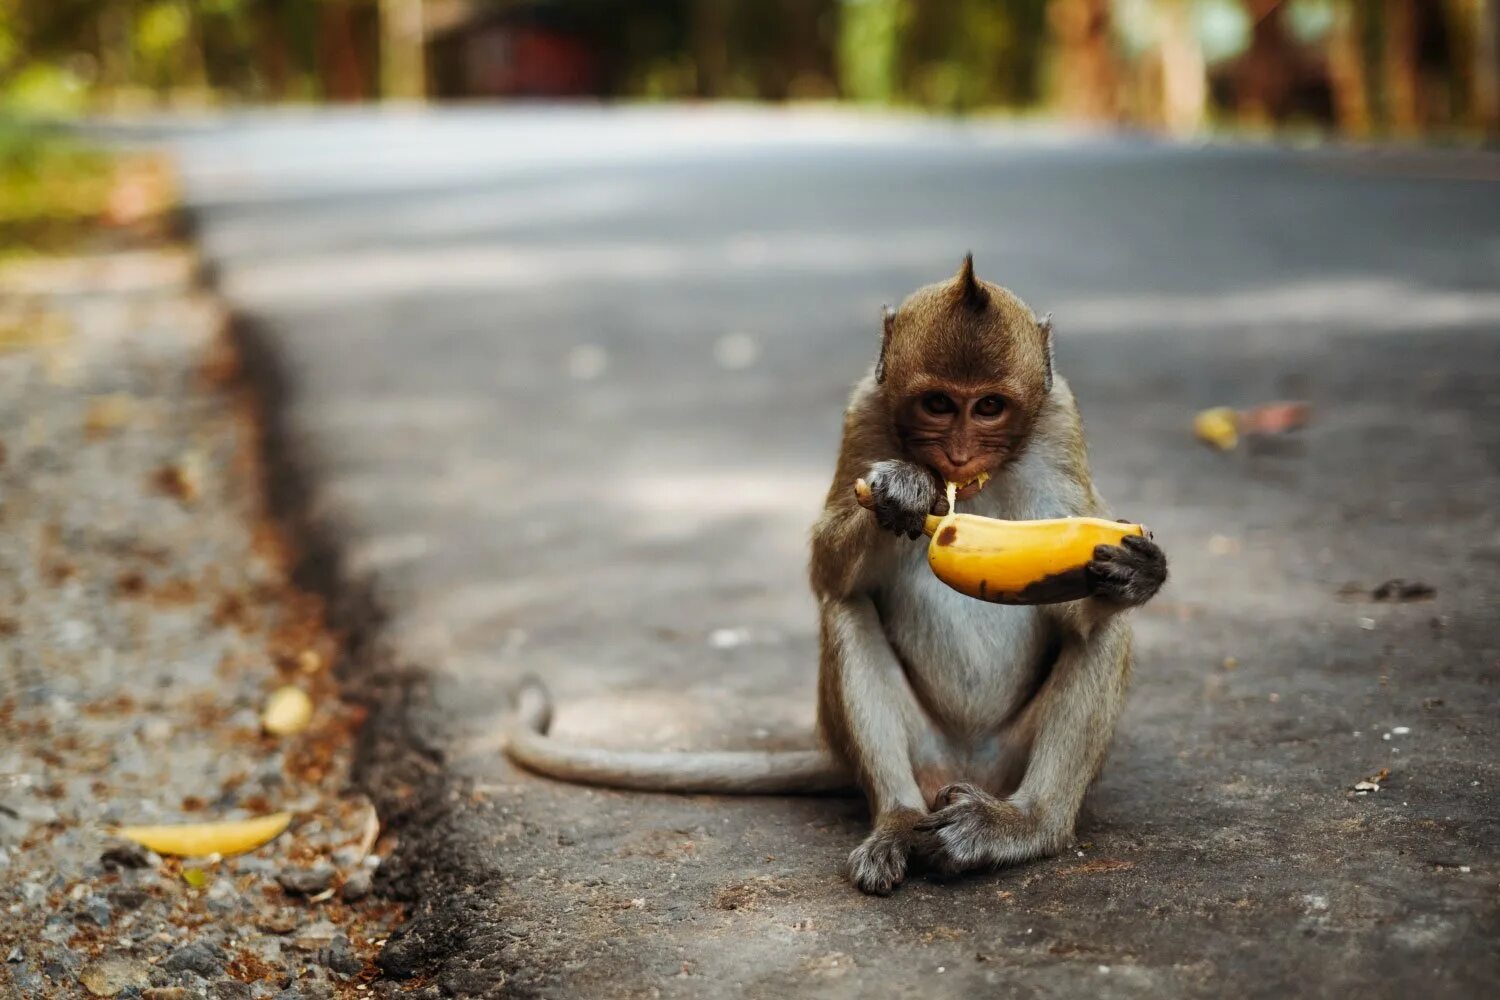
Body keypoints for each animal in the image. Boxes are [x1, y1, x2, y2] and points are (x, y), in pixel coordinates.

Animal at [510, 256, 1164, 893]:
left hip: (1010, 758)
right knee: (846, 611)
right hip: (921, 749)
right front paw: (903, 490)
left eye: (988, 407)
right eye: (937, 404)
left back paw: (1024, 825)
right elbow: (828, 571)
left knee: (1105, 629)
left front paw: (1136, 571)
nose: (956, 456)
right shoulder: (864, 413)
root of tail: (963, 770)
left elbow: (1078, 607)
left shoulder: (1060, 426)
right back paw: (897, 819)